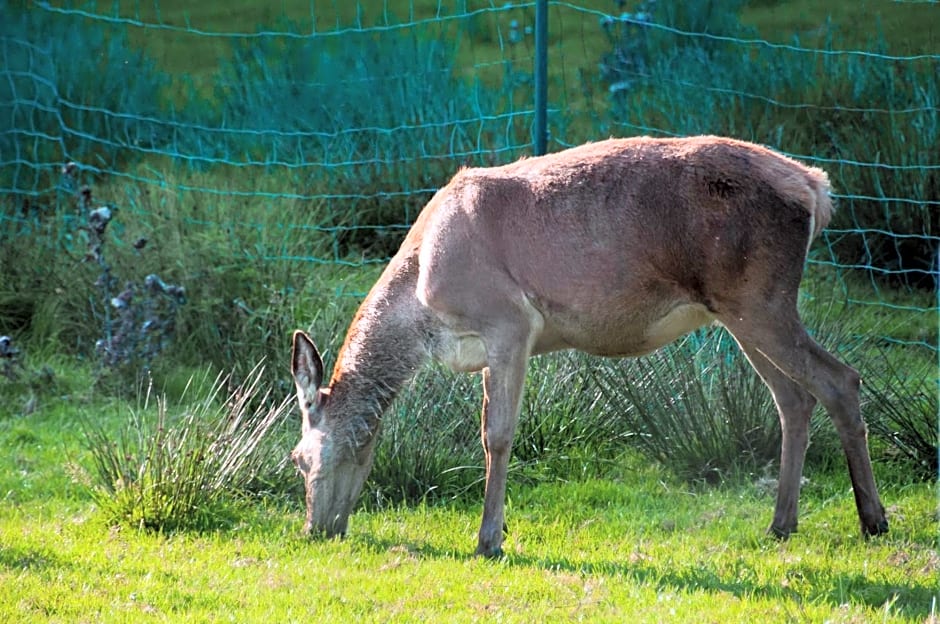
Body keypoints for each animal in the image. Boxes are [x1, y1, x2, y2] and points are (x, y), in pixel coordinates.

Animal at [292, 135, 888, 556]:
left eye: (298, 458)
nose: (314, 529)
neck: (422, 306)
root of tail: (816, 188)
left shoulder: (509, 322)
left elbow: (497, 436)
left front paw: (489, 539)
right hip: (741, 309)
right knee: (793, 398)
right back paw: (781, 523)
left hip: (759, 297)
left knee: (840, 379)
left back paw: (872, 520)